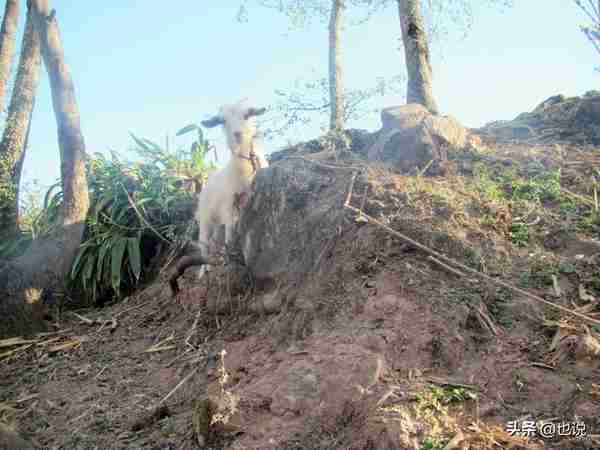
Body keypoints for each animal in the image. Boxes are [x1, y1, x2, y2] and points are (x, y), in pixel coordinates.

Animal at [195, 100, 268, 270]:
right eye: (222, 121)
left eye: (247, 115)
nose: (237, 134)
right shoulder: (229, 205)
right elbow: (230, 234)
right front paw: (230, 260)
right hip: (205, 218)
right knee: (204, 245)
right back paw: (205, 268)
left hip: (216, 223)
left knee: (215, 242)